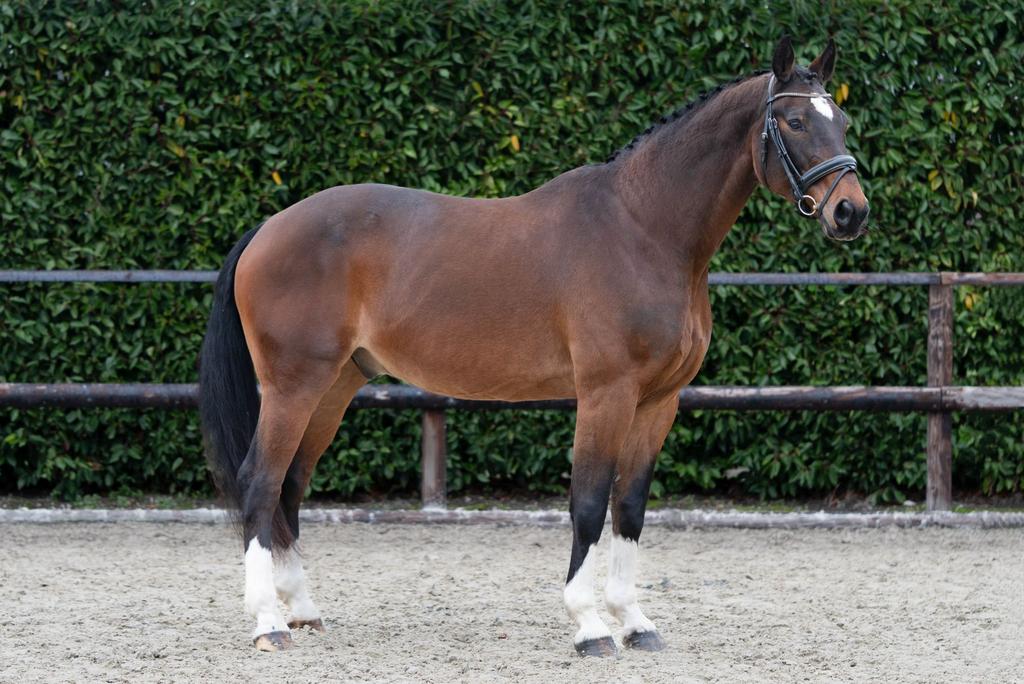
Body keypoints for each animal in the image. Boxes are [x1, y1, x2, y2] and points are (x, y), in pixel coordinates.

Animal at [198, 35, 869, 657]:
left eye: (840, 120)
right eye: (795, 121)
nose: (850, 212)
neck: (643, 229)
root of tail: (269, 226)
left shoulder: (659, 402)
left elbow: (630, 507)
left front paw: (635, 622)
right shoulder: (605, 394)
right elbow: (590, 502)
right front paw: (591, 626)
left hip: (334, 386)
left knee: (289, 486)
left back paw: (302, 611)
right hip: (293, 386)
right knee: (260, 481)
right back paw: (268, 623)